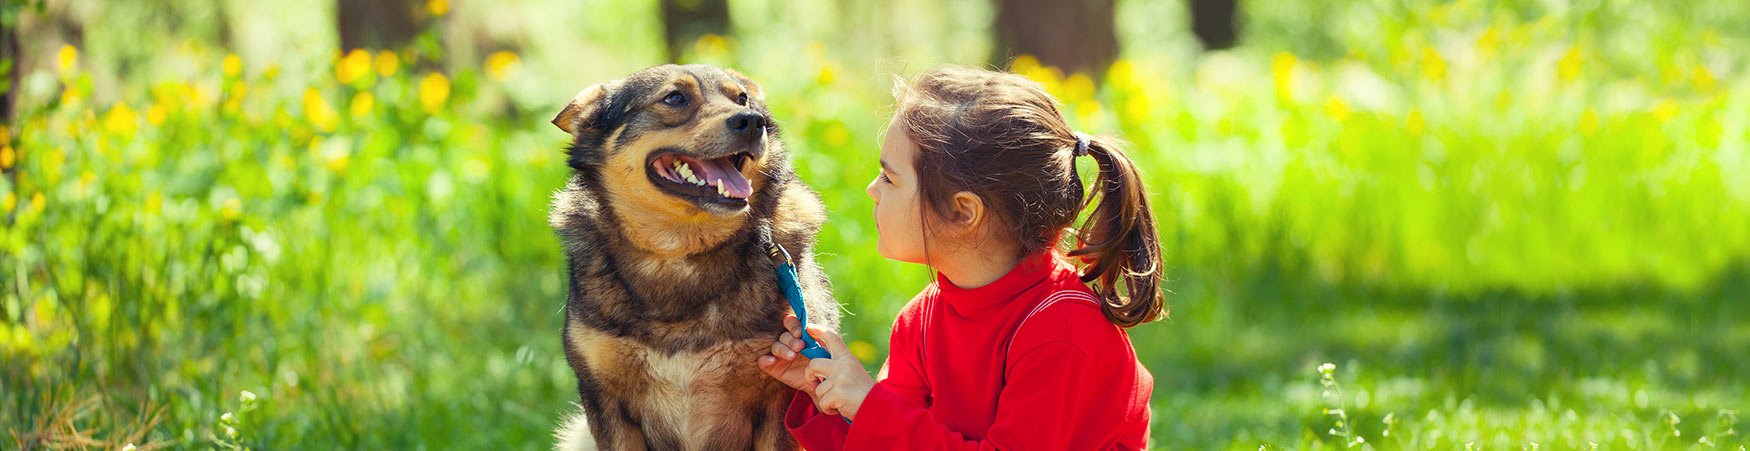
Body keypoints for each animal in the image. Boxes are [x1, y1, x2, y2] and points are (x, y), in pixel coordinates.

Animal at [549, 64, 843, 451]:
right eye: (675, 98)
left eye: (742, 99)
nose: (752, 122)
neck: (678, 252)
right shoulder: (606, 401)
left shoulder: (781, 399)